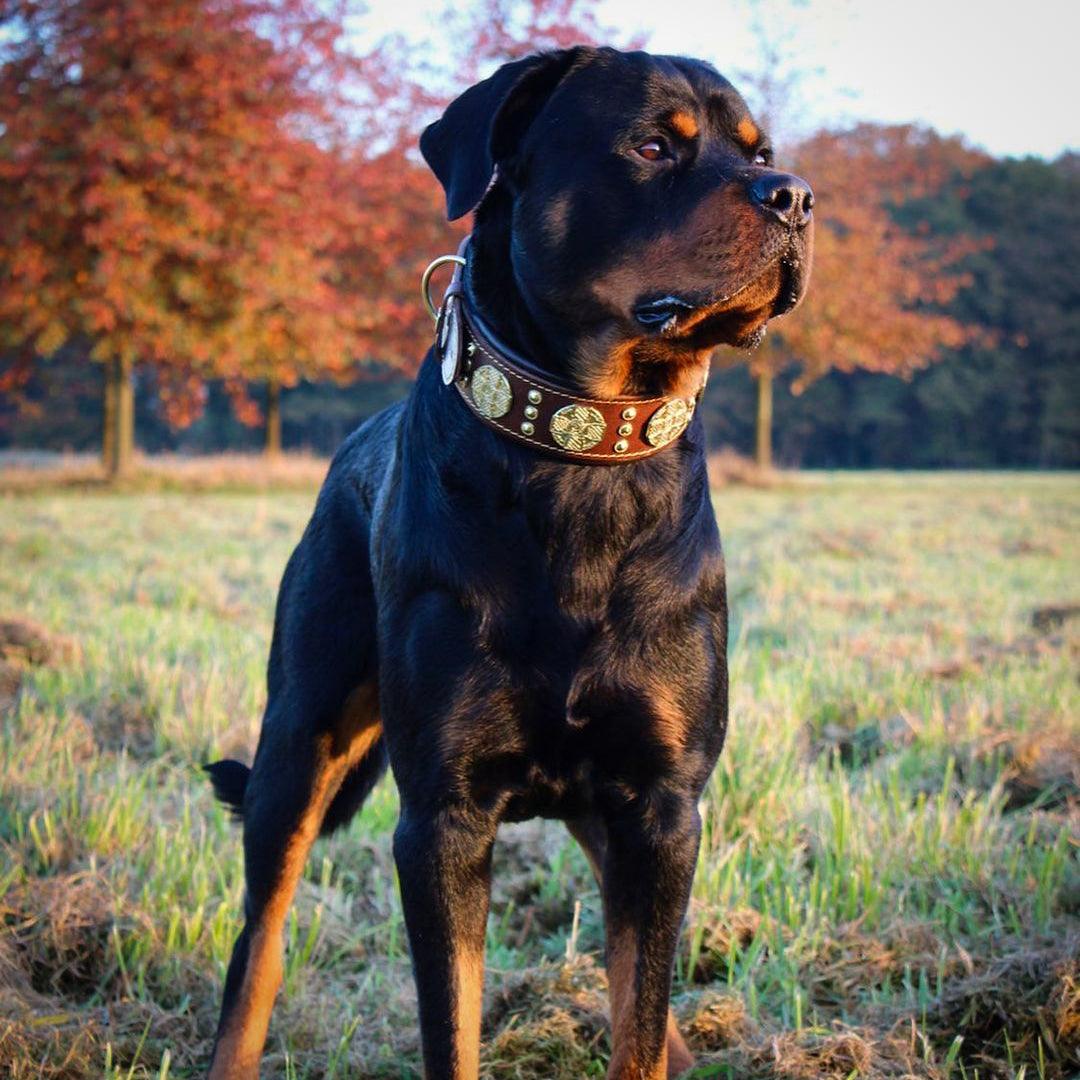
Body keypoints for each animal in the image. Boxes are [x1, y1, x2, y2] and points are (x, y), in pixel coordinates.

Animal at [204, 44, 812, 1080]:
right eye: (653, 146)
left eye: (758, 150)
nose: (798, 195)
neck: (584, 454)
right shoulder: (442, 818)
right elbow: (453, 1023)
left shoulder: (663, 800)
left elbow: (638, 1010)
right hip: (300, 735)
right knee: (261, 937)